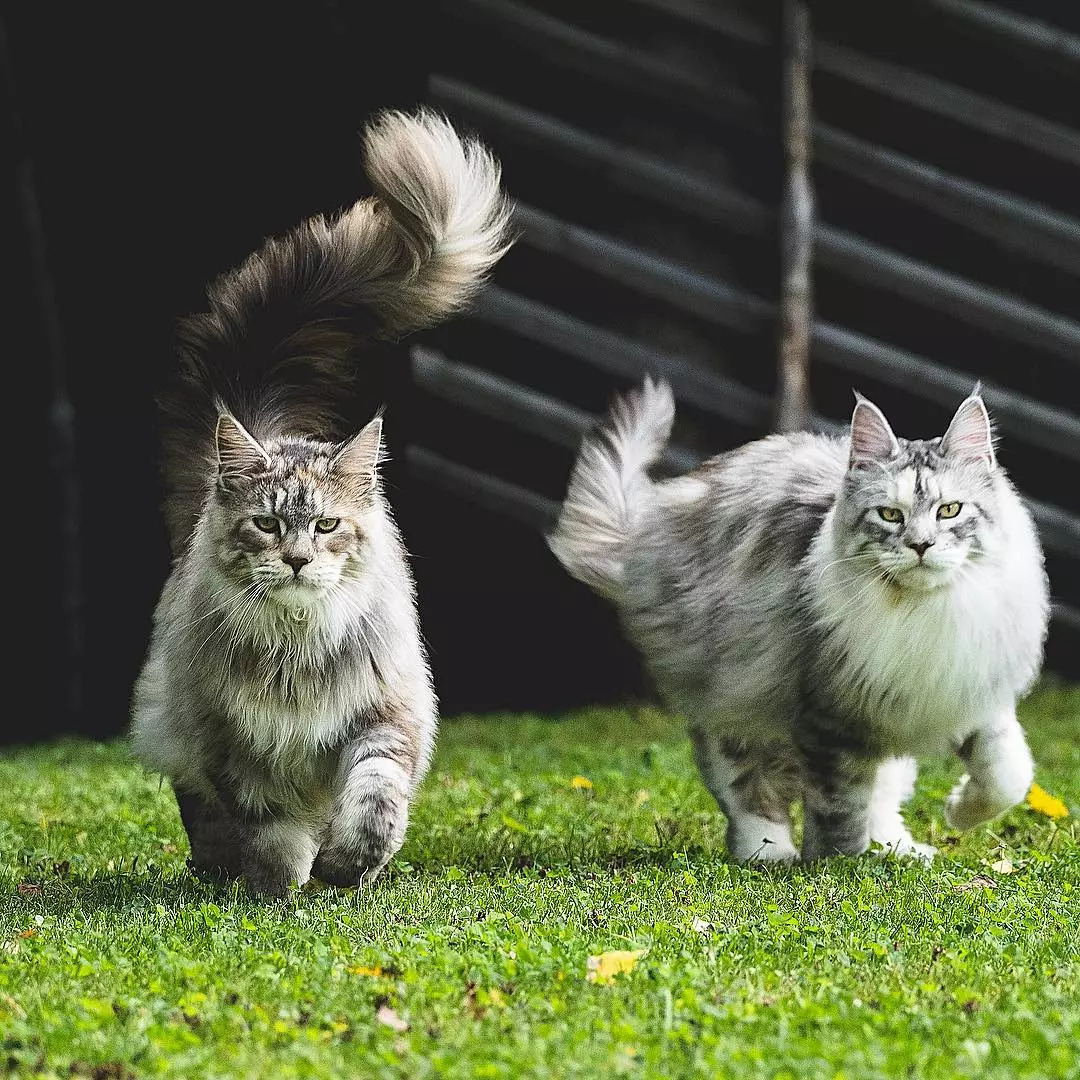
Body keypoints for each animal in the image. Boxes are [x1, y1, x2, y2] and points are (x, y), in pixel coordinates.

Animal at [129, 111, 509, 902]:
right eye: (269, 524)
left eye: (327, 524)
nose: (299, 560)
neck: (296, 652)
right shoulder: (232, 743)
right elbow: (268, 826)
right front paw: (280, 886)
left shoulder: (384, 718)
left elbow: (374, 802)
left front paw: (346, 868)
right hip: (176, 723)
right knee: (200, 811)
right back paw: (216, 869)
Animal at [548, 378, 1045, 859]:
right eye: (890, 515)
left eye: (949, 510)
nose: (921, 545)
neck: (922, 613)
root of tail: (645, 534)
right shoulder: (831, 718)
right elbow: (838, 806)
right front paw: (838, 865)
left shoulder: (966, 690)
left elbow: (1009, 775)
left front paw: (959, 812)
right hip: (735, 703)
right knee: (745, 789)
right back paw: (770, 853)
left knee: (882, 795)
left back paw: (899, 848)